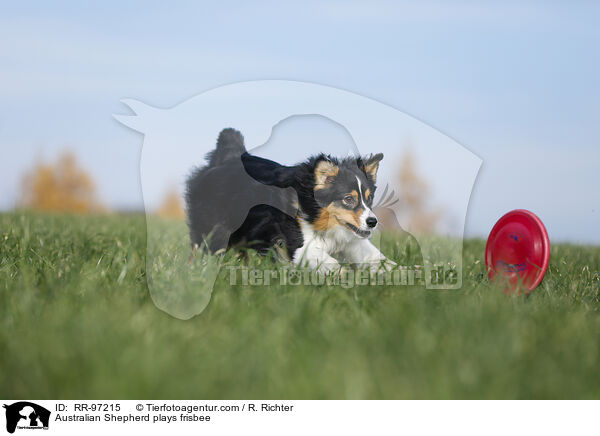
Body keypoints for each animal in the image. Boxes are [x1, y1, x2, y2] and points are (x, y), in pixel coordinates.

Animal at [188, 127, 394, 272]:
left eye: (369, 198)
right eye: (348, 199)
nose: (373, 222)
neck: (312, 207)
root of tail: (226, 159)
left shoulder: (352, 241)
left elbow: (378, 258)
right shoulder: (297, 242)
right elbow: (331, 263)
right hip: (213, 227)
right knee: (203, 248)